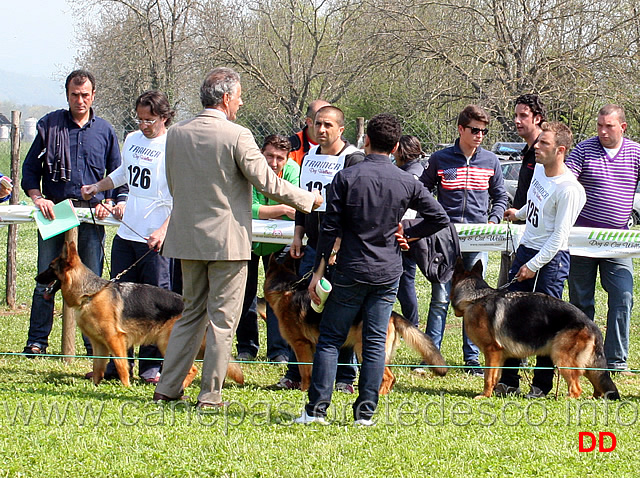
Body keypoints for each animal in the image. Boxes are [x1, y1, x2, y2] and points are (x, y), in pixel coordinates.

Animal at [37, 243, 245, 388]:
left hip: (166, 342)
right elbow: (98, 368)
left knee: (191, 369)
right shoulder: (99, 344)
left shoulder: (115, 340)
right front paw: (95, 386)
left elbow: (121, 365)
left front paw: (126, 387)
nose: (36, 278)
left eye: (50, 267)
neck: (90, 293)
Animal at [262, 254, 448, 392]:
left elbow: (305, 371)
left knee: (388, 377)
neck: (286, 289)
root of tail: (393, 315)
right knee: (390, 377)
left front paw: (304, 391)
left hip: (363, 349)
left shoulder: (301, 345)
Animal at [450, 258, 620, 400]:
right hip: (587, 364)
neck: (474, 298)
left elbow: (488, 377)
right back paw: (594, 398)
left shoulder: (492, 351)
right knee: (597, 383)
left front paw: (485, 396)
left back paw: (564, 400)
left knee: (576, 389)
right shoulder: (499, 356)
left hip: (562, 358)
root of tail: (591, 324)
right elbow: (496, 376)